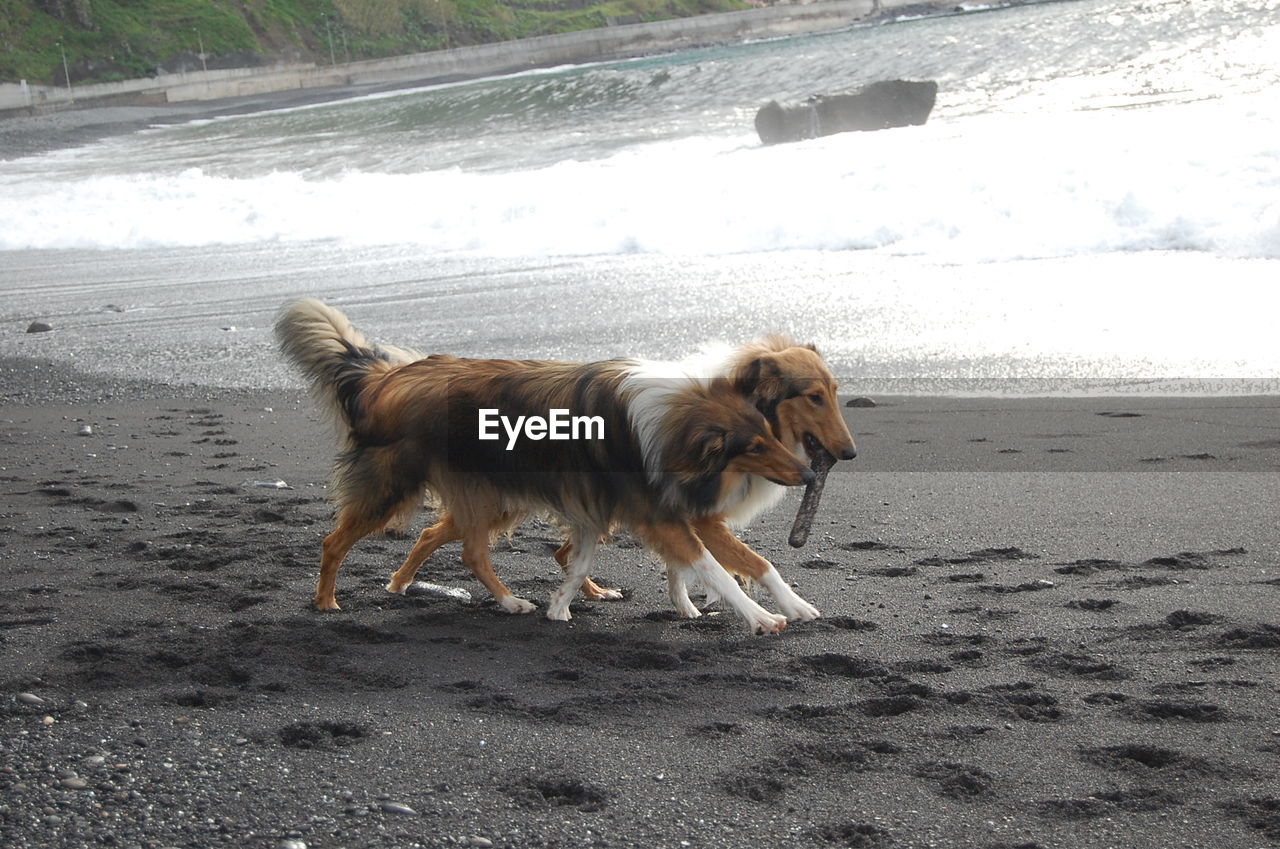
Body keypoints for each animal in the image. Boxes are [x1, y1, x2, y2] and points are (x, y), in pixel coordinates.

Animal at [273, 298, 808, 630]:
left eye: (769, 434)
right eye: (754, 447)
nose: (806, 474)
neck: (666, 425)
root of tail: (386, 379)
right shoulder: (658, 517)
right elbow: (715, 569)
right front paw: (761, 618)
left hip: (492, 497)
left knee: (446, 540)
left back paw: (411, 585)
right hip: (399, 488)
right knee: (340, 542)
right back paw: (328, 601)